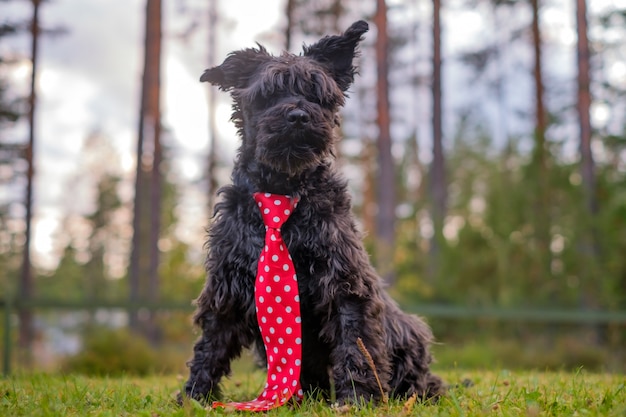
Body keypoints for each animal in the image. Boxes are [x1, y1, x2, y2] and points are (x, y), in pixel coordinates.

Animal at [182, 20, 444, 406]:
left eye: (317, 93)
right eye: (270, 93)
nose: (298, 116)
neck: (283, 189)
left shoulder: (345, 283)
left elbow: (356, 344)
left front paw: (356, 399)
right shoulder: (227, 284)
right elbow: (210, 346)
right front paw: (194, 396)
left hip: (408, 333)